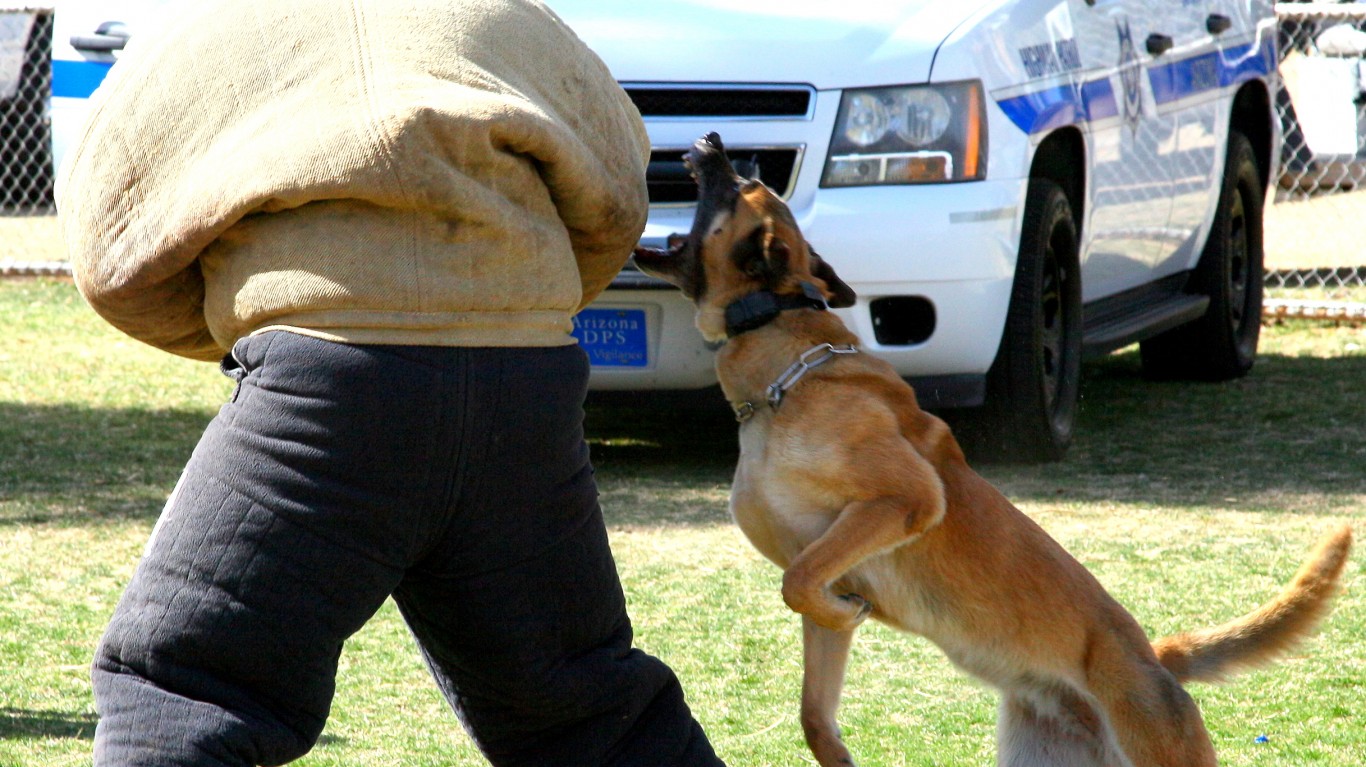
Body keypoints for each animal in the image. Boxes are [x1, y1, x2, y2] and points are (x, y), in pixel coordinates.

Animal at [631, 133, 1355, 765]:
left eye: (738, 186)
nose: (712, 141)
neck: (785, 368)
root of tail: (1154, 657)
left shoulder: (907, 499)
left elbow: (798, 581)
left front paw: (846, 605)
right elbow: (813, 700)